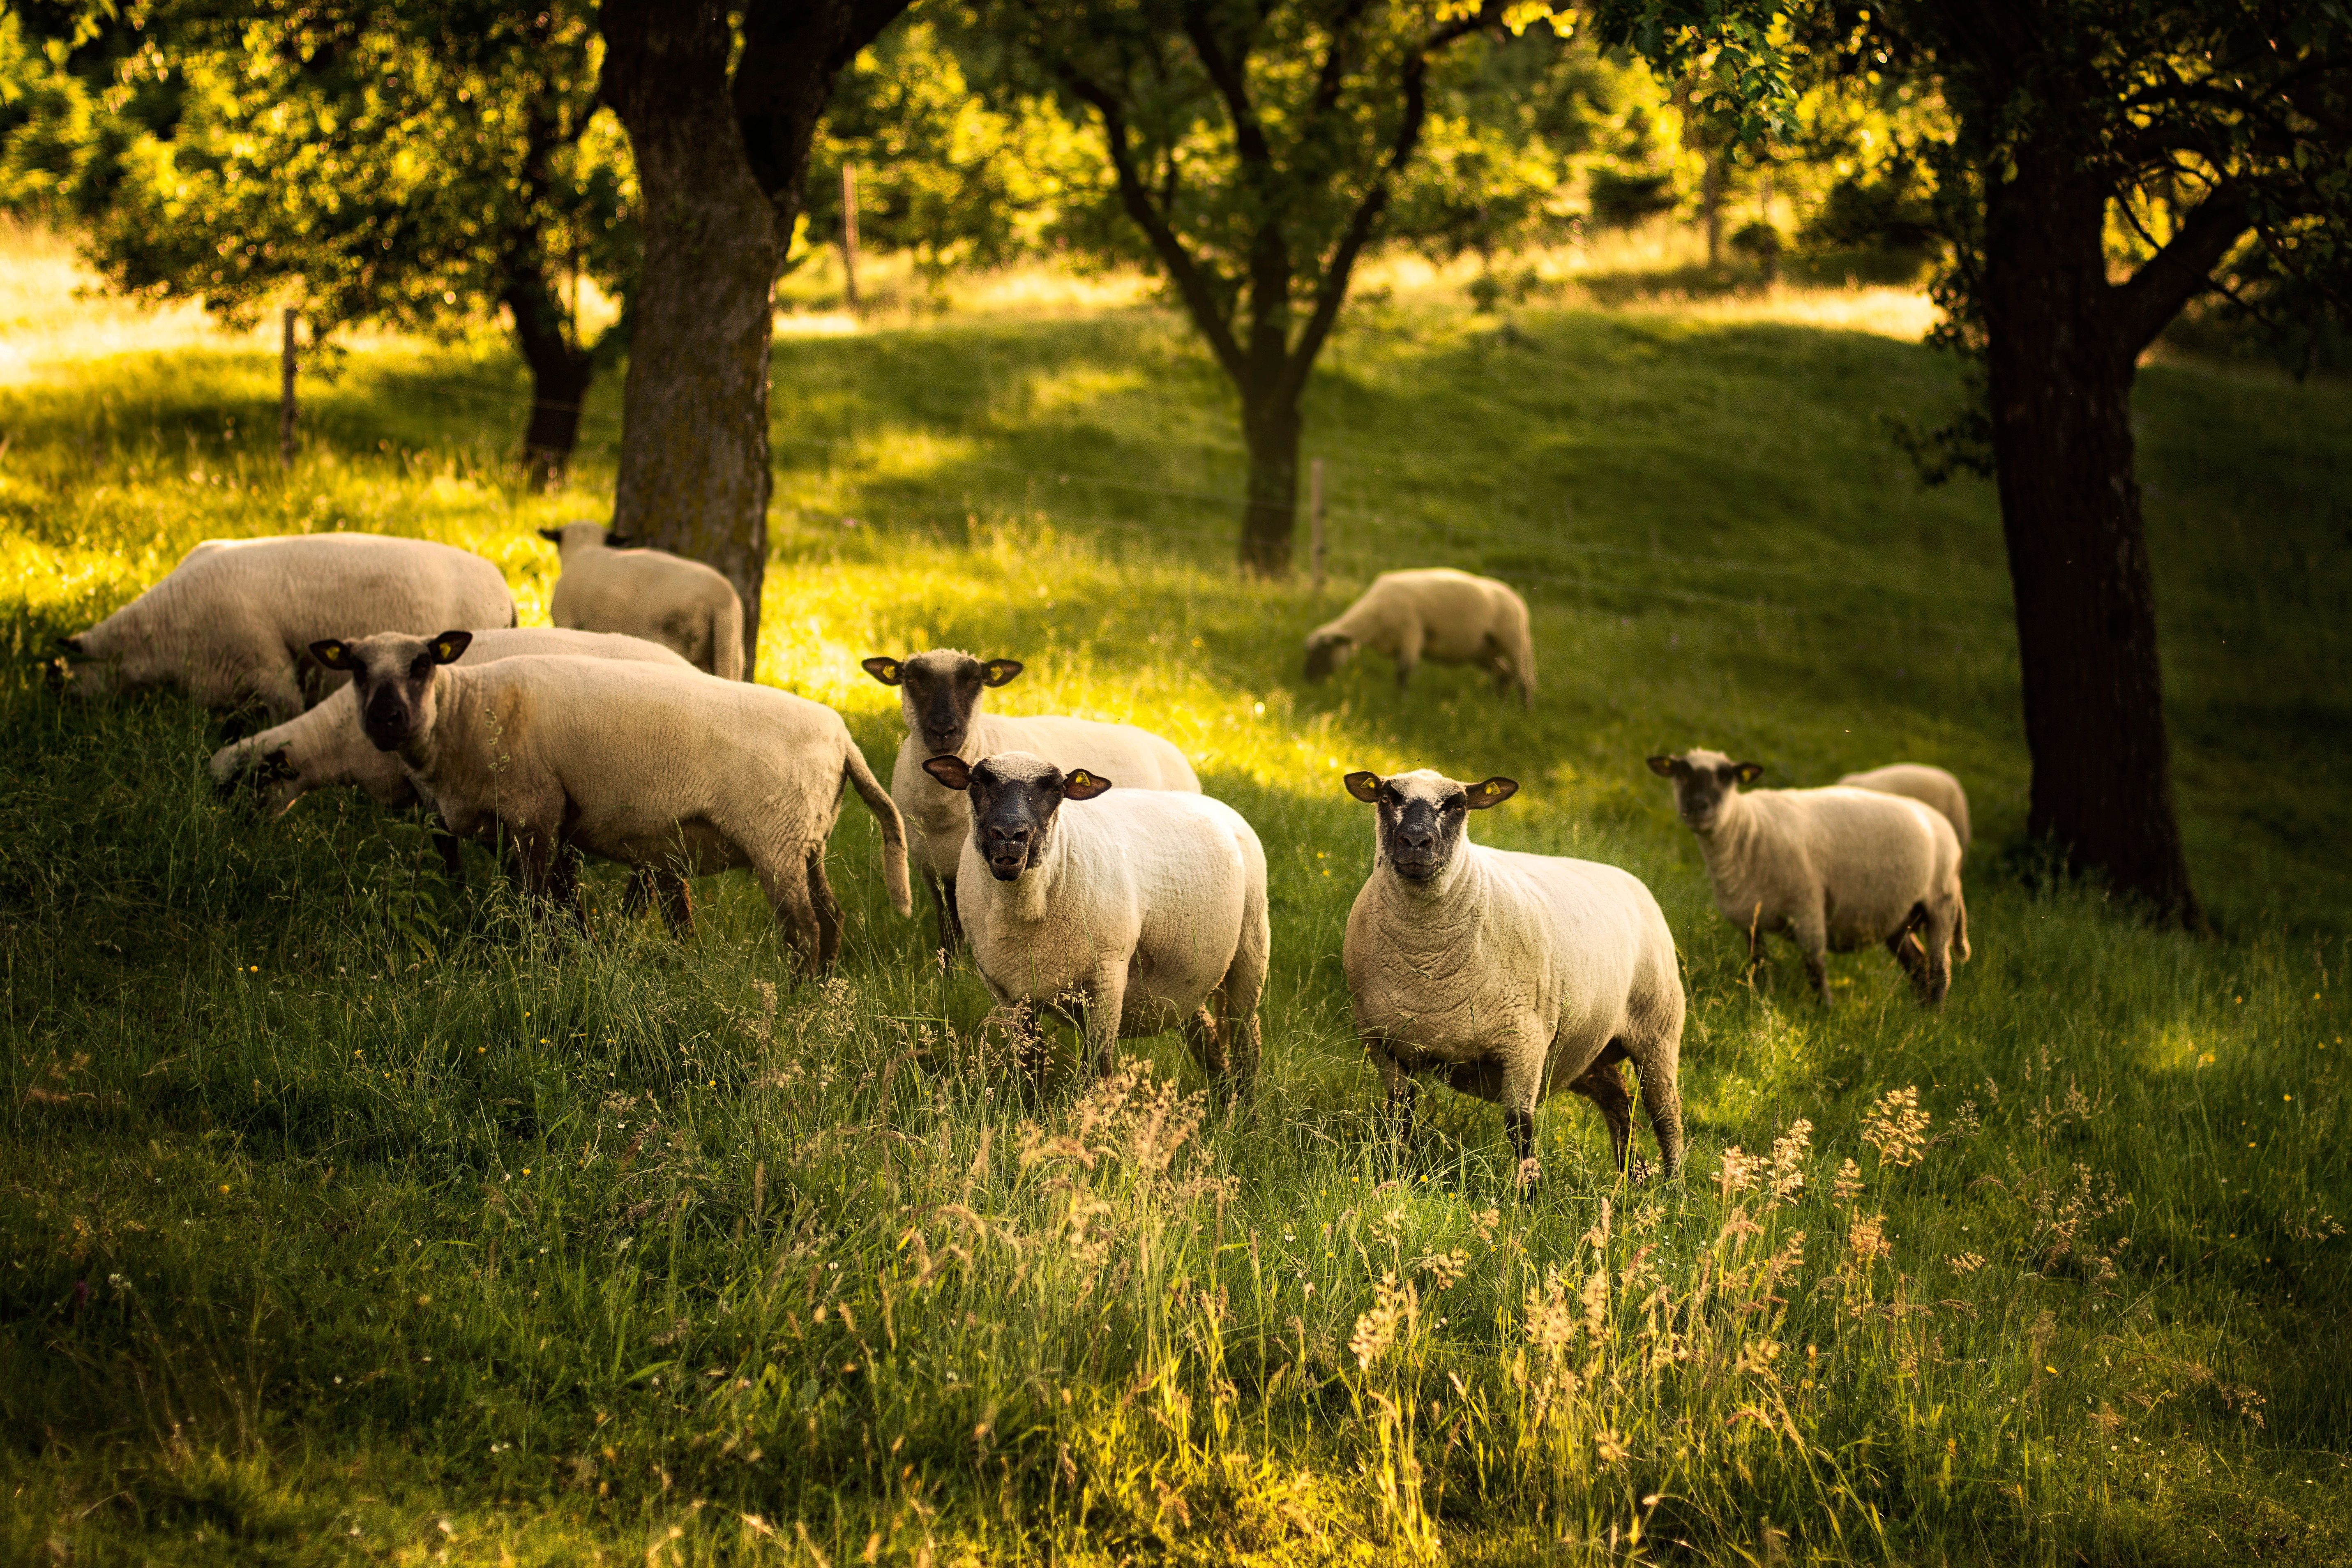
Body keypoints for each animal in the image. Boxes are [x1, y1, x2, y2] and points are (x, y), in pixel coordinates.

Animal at [309, 630, 911, 967]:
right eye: (357, 669)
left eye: (422, 664)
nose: (386, 720)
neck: (465, 713)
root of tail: (844, 741)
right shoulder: (537, 826)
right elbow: (561, 903)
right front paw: (582, 954)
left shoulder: (535, 811)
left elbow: (538, 906)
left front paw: (545, 964)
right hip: (807, 841)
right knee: (832, 920)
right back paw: (821, 996)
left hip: (775, 842)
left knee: (803, 930)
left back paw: (794, 1001)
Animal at [862, 649, 1200, 954]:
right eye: (911, 680)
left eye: (974, 681)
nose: (943, 732)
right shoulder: (933, 867)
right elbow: (947, 924)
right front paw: (946, 968)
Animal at [920, 750, 1266, 1097]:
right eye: (977, 783)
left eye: (1056, 790)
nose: (1009, 837)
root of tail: (1213, 802)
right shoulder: (1007, 992)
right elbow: (1030, 1066)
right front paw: (1033, 1108)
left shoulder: (1108, 977)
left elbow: (1099, 1069)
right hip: (1185, 980)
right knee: (1205, 1033)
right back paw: (1224, 1096)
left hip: (1252, 949)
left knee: (1247, 1039)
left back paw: (1246, 1104)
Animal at [1303, 568, 1534, 708]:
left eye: (1321, 653)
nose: (1308, 680)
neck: (1372, 619)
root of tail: (1519, 602)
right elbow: (1400, 674)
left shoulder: (1412, 635)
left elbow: (1403, 673)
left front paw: (1402, 704)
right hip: (1483, 652)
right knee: (1505, 675)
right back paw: (1500, 707)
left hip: (1514, 641)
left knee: (1524, 681)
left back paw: (1524, 714)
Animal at [1342, 768, 1685, 1184]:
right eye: (1386, 797)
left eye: (1458, 805)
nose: (1416, 843)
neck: (1425, 963)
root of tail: (1630, 881)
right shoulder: (1383, 1044)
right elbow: (1399, 1119)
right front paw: (1396, 1176)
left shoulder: (1524, 1043)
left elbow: (1520, 1131)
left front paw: (1528, 1196)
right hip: (1586, 1051)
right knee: (1620, 1103)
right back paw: (1630, 1178)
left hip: (1658, 1031)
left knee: (1667, 1118)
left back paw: (1673, 1190)